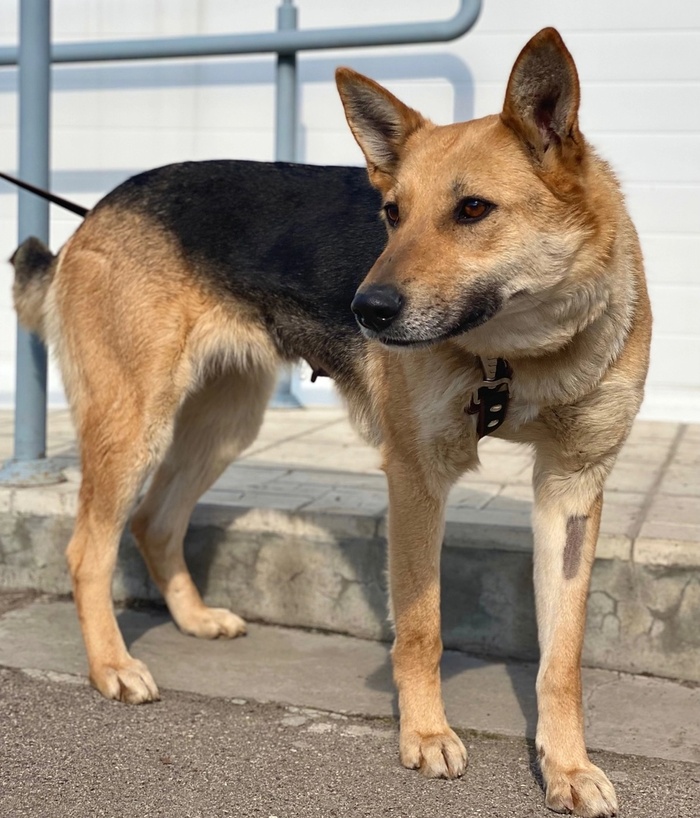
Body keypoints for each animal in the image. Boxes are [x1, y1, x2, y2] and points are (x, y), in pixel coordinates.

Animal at [9, 28, 650, 817]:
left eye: (473, 210)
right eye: (392, 215)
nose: (364, 310)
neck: (519, 352)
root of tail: (99, 208)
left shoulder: (570, 491)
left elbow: (562, 658)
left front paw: (567, 766)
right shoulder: (416, 478)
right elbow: (421, 626)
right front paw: (426, 735)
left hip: (224, 423)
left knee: (155, 521)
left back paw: (193, 619)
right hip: (135, 425)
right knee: (87, 550)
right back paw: (111, 666)